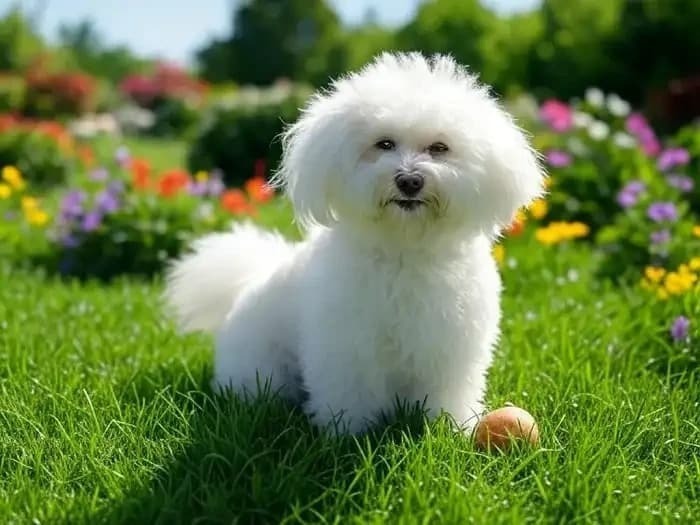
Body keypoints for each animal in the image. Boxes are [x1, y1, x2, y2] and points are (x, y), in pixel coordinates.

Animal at [165, 51, 548, 432]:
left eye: (439, 148)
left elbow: (445, 391)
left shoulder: (448, 344)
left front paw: (448, 426)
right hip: (264, 368)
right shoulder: (347, 345)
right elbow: (350, 390)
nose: (410, 180)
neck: (404, 249)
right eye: (384, 144)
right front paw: (346, 431)